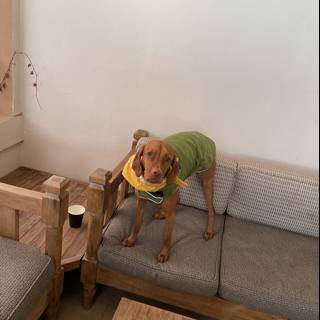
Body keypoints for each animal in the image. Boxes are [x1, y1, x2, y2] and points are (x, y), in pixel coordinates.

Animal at [121, 132, 216, 262]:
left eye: (168, 158)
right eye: (149, 153)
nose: (157, 173)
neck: (153, 187)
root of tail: (204, 137)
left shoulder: (171, 216)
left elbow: (167, 236)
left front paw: (164, 253)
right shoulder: (140, 203)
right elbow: (137, 223)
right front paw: (131, 240)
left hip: (206, 181)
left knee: (211, 210)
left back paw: (209, 230)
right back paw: (162, 213)